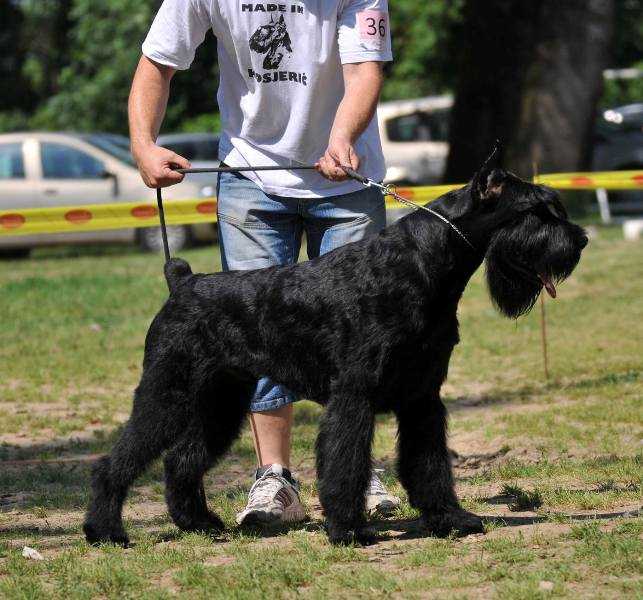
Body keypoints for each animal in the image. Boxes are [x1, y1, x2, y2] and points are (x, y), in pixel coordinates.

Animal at [84, 159, 588, 544]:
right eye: (536, 212)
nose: (580, 240)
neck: (423, 265)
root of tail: (182, 282)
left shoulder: (423, 397)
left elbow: (429, 462)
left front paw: (450, 519)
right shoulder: (354, 395)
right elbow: (346, 463)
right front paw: (349, 529)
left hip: (219, 401)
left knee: (182, 460)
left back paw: (201, 524)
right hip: (167, 392)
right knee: (118, 461)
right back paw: (105, 531)